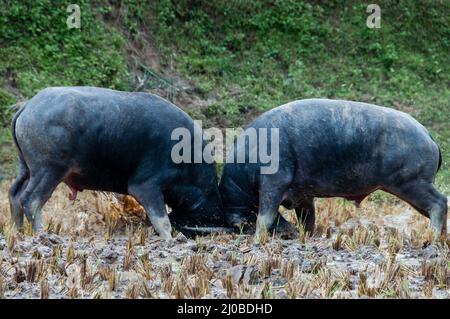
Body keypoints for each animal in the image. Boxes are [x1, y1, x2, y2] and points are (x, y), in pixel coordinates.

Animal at [8, 87, 223, 240]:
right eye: (206, 216)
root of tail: (27, 107)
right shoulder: (146, 186)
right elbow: (162, 221)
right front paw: (170, 241)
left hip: (26, 168)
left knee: (14, 194)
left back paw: (19, 233)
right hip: (49, 169)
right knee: (31, 200)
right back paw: (41, 234)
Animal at [219, 99, 446, 241]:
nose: (289, 233)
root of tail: (427, 134)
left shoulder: (273, 182)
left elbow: (265, 215)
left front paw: (258, 239)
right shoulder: (302, 195)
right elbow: (308, 218)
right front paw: (306, 236)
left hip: (413, 182)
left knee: (440, 202)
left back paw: (433, 238)